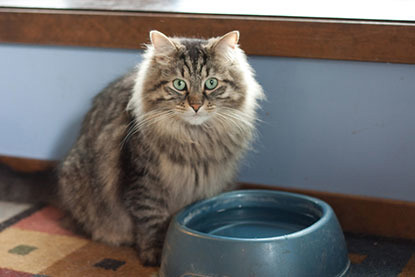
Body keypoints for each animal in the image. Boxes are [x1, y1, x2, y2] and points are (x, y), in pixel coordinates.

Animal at [0, 30, 264, 266]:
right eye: (180, 84)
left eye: (211, 83)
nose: (196, 105)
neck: (194, 139)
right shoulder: (144, 181)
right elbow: (151, 221)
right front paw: (156, 256)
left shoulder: (208, 181)